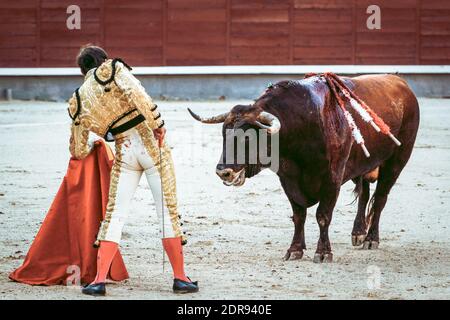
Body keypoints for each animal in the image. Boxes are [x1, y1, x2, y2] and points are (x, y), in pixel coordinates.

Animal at [188, 74, 420, 262]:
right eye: (224, 134)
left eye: (249, 138)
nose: (223, 171)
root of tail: (400, 82)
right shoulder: (288, 178)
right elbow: (298, 215)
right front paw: (295, 250)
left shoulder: (333, 178)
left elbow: (323, 215)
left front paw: (323, 253)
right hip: (363, 164)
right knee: (364, 193)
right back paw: (358, 233)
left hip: (397, 160)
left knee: (380, 198)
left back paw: (371, 239)